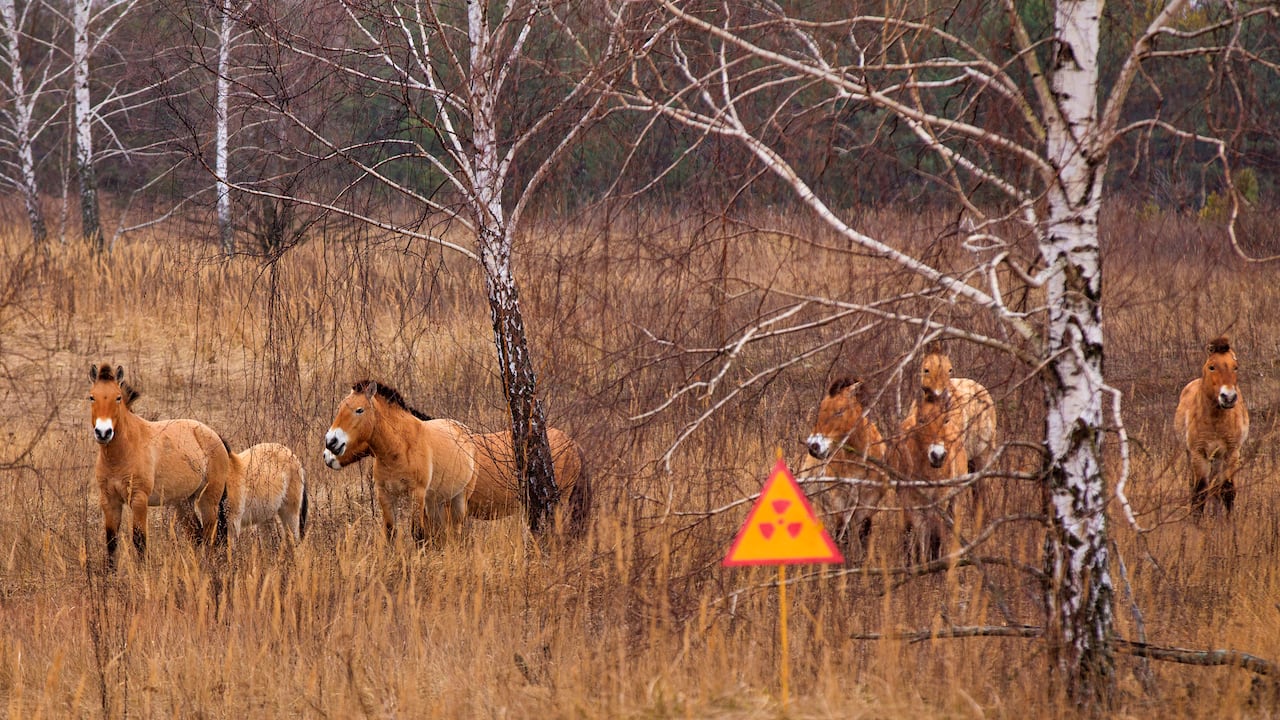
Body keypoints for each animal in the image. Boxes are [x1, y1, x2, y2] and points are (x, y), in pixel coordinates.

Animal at [88, 363, 242, 569]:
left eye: (118, 397)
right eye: (92, 397)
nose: (103, 432)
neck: (121, 454)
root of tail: (215, 435)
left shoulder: (138, 499)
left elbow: (139, 540)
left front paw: (143, 573)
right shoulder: (109, 500)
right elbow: (111, 543)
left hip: (209, 500)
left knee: (211, 536)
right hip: (183, 502)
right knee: (197, 535)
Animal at [804, 377, 889, 557]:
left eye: (839, 411)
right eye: (821, 409)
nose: (814, 447)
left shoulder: (869, 501)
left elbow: (863, 534)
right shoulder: (838, 498)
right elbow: (842, 534)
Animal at [1174, 336, 1249, 516]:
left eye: (1235, 367)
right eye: (1212, 367)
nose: (1228, 397)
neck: (1216, 421)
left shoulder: (1231, 453)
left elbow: (1227, 491)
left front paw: (1229, 522)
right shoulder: (1198, 454)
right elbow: (1199, 493)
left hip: (1217, 458)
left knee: (1216, 487)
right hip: (1194, 455)